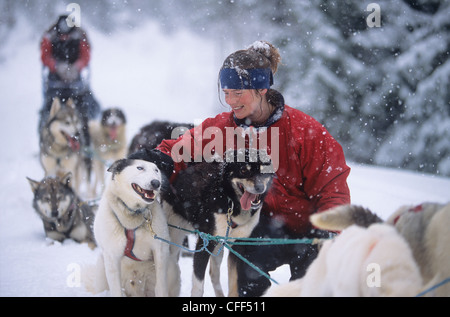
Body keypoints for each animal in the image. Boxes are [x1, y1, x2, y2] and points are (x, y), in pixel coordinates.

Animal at [92, 159, 175, 296]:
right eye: (140, 168)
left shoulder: (160, 250)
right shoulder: (111, 256)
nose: (156, 183)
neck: (133, 216)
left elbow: (161, 287)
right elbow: (116, 291)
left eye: (156, 170)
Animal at [167, 148, 274, 296]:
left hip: (218, 247)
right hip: (174, 237)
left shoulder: (237, 247)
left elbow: (234, 284)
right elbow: (198, 286)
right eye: (244, 170)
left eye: (264, 170)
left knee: (214, 274)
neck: (232, 203)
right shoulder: (204, 244)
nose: (259, 187)